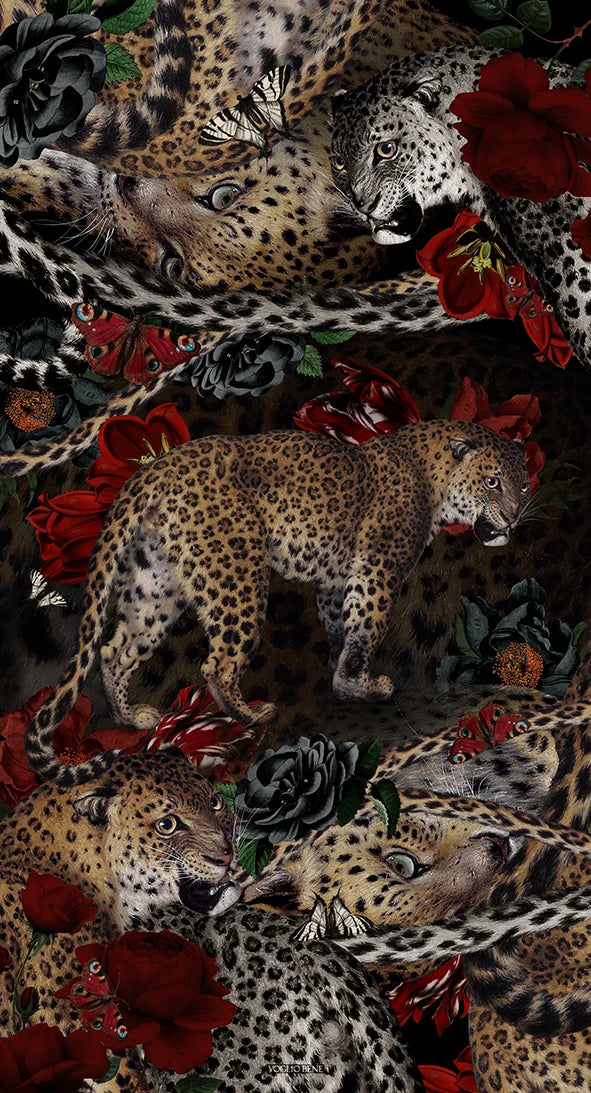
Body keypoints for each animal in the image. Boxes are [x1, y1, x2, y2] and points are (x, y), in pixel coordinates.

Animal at [18, 419, 531, 786]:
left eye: (522, 485)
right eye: (491, 482)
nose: (512, 517)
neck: (435, 477)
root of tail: (156, 468)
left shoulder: (336, 578)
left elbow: (342, 626)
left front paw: (341, 676)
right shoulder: (378, 568)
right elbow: (367, 625)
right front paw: (362, 684)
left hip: (154, 582)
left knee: (114, 649)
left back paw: (132, 718)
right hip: (237, 573)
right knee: (217, 662)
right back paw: (250, 716)